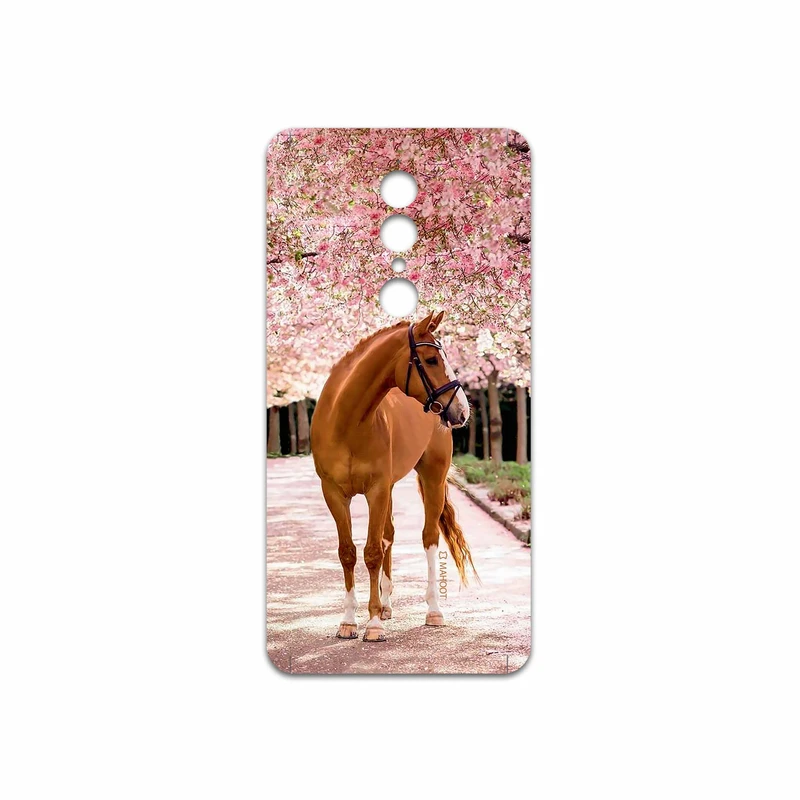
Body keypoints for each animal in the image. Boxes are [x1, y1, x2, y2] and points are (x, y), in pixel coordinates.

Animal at [310, 310, 477, 642]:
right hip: (388, 488)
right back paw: (386, 605)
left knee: (428, 537)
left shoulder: (376, 490)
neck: (346, 422)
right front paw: (349, 621)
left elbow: (372, 552)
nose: (462, 411)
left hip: (432, 477)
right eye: (431, 359)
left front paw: (373, 625)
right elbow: (348, 552)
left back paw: (433, 611)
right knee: (389, 535)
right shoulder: (334, 493)